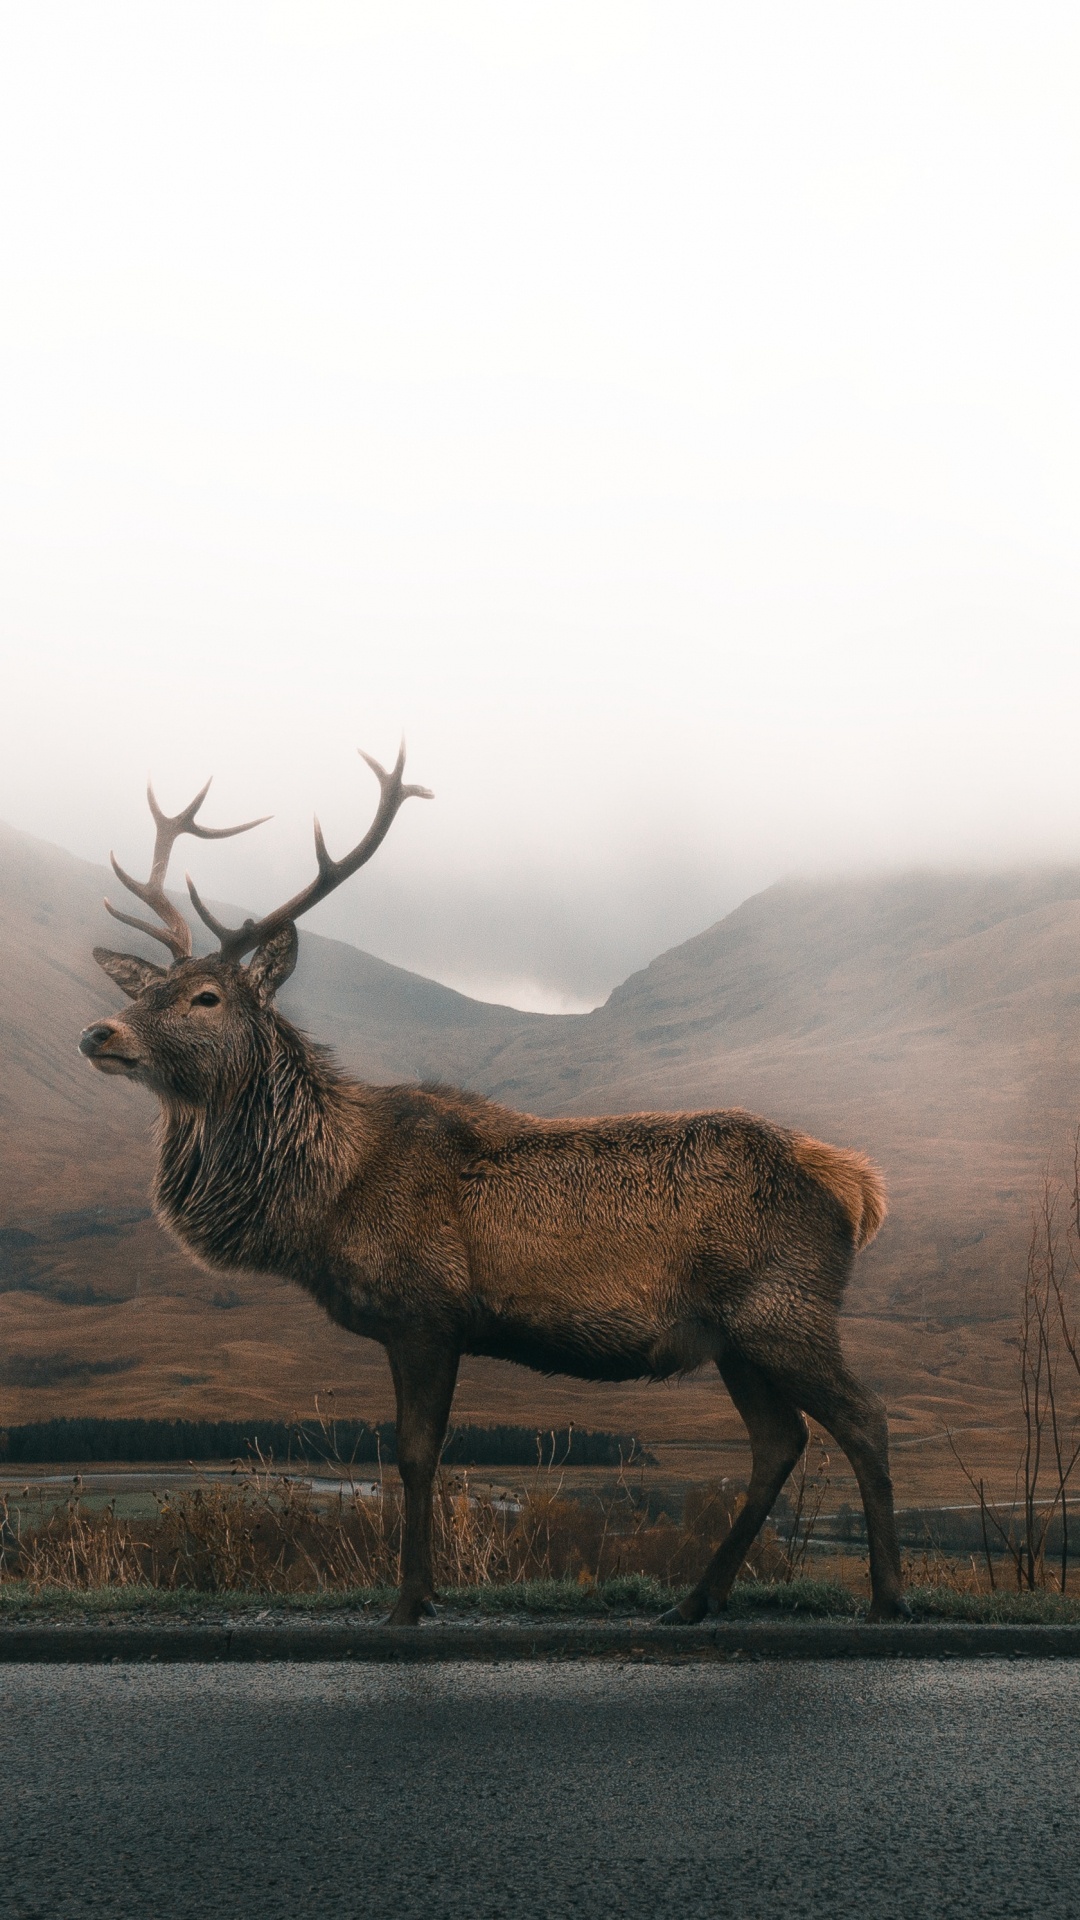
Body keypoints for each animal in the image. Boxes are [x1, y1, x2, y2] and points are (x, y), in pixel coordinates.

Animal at [79, 746, 909, 1625]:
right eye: (142, 991)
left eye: (205, 997)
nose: (99, 1032)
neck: (324, 1200)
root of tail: (857, 1187)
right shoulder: (415, 1326)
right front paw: (426, 1589)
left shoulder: (427, 1311)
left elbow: (415, 1457)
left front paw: (409, 1600)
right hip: (733, 1336)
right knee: (780, 1441)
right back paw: (694, 1600)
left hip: (784, 1308)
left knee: (864, 1417)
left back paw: (887, 1595)